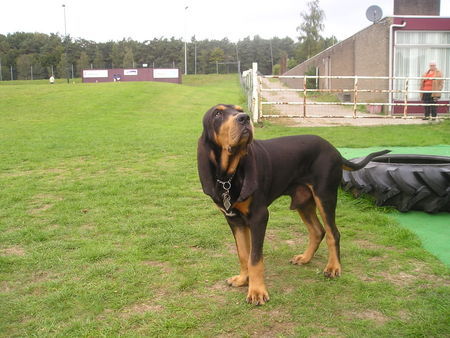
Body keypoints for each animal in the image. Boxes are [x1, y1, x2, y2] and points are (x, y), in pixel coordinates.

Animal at [197, 104, 390, 304]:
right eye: (217, 114)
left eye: (239, 109)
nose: (244, 118)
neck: (229, 175)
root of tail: (334, 150)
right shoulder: (234, 220)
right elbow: (243, 254)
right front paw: (243, 280)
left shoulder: (259, 216)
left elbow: (255, 258)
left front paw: (257, 291)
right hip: (304, 202)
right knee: (317, 231)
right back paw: (305, 258)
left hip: (325, 196)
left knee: (333, 233)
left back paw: (333, 267)